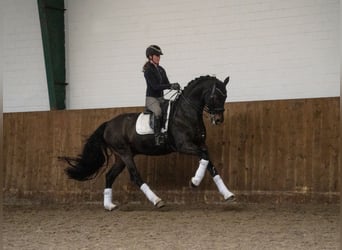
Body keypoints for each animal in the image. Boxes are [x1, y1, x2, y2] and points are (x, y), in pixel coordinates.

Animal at [60, 75, 234, 210]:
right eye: (215, 97)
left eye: (225, 96)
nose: (218, 120)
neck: (186, 113)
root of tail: (108, 124)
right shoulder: (183, 145)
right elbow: (204, 157)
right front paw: (194, 182)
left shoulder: (201, 144)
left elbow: (210, 163)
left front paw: (228, 194)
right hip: (125, 153)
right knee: (135, 176)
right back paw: (157, 201)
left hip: (120, 157)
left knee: (109, 176)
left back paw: (109, 206)